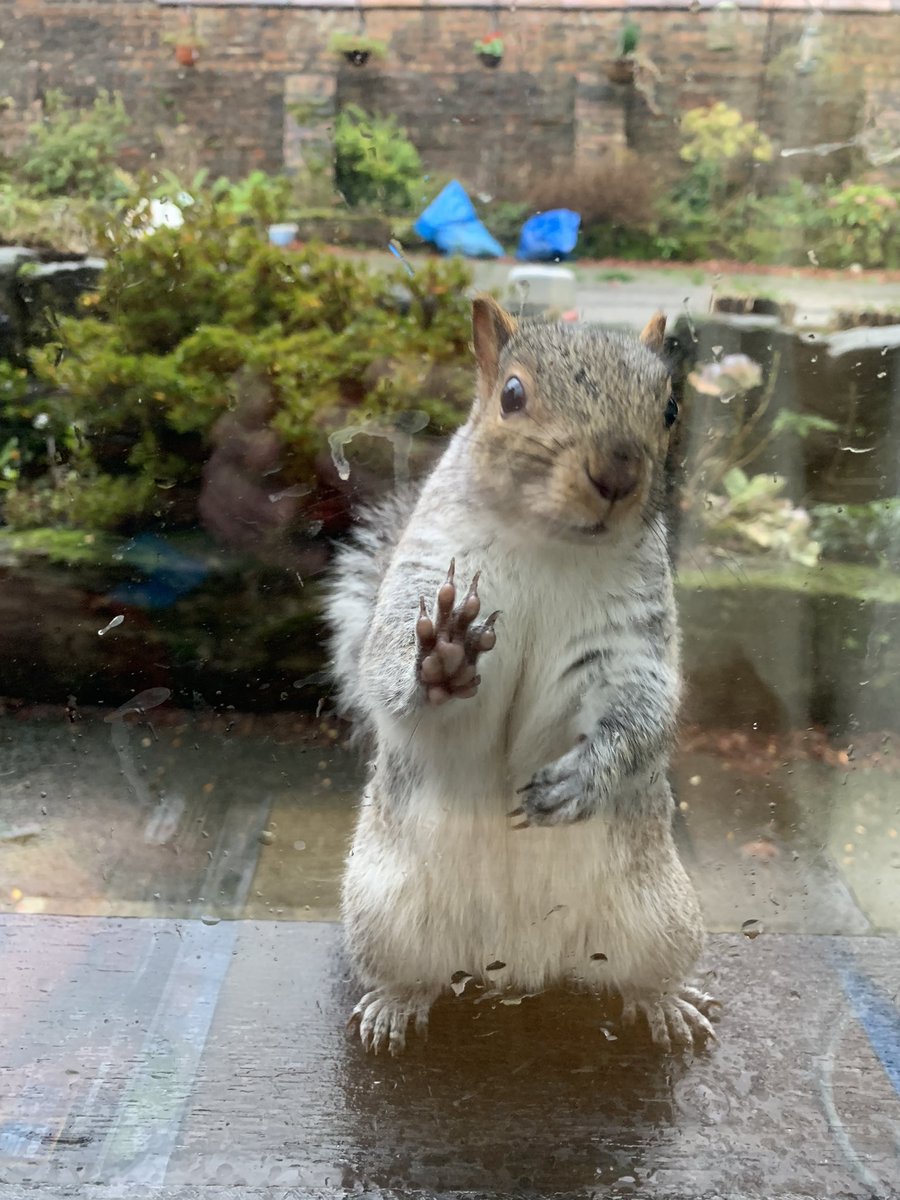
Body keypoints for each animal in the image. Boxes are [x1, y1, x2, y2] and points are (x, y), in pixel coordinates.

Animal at [324, 296, 718, 1056]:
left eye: (671, 407)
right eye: (512, 394)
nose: (618, 472)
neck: (548, 544)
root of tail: (518, 965)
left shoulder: (632, 642)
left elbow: (643, 709)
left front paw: (584, 778)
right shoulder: (423, 578)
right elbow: (389, 665)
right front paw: (441, 661)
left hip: (662, 916)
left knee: (642, 972)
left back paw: (665, 1002)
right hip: (382, 913)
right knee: (412, 974)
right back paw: (394, 1003)